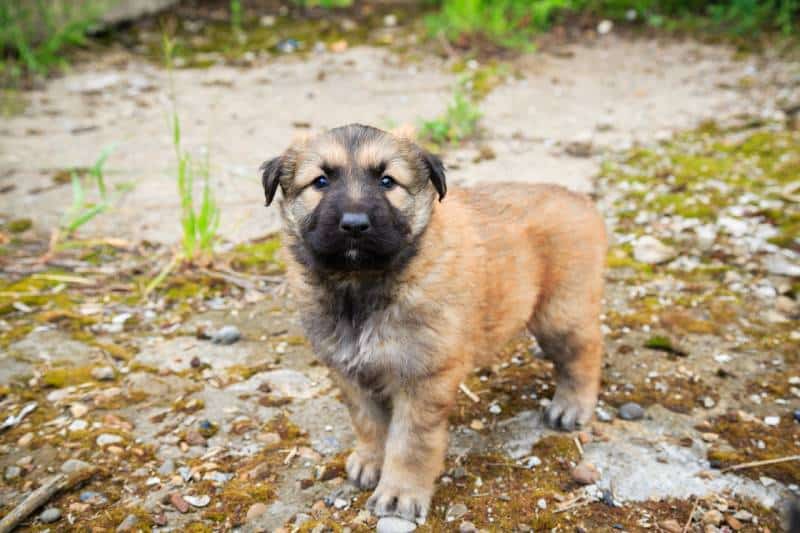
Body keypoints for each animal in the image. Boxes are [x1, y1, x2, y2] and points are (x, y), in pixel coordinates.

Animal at [262, 124, 608, 524]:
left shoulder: (423, 377)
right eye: (320, 181)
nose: (354, 225)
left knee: (583, 352)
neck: (362, 285)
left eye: (387, 181)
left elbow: (410, 442)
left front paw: (400, 493)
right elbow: (368, 423)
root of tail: (579, 200)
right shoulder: (351, 373)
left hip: (560, 311)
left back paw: (571, 406)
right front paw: (370, 461)